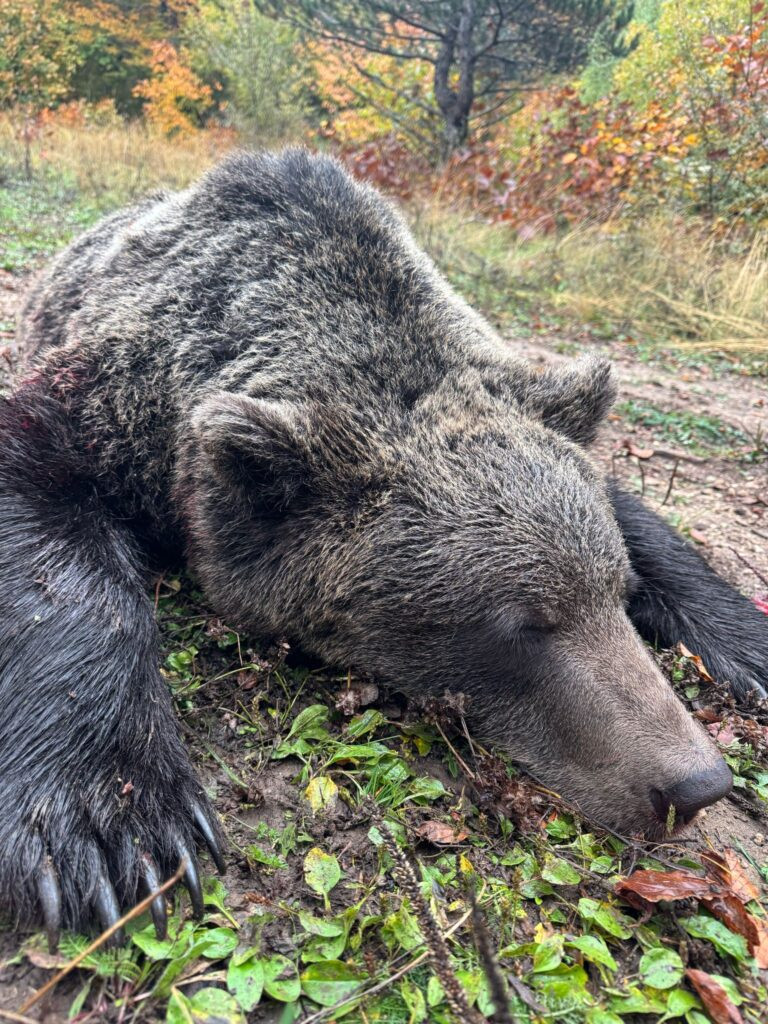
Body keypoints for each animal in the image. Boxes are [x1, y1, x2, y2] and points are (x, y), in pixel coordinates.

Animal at [3, 147, 766, 948]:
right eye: (521, 625)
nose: (697, 784)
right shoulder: (104, 403)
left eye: (616, 594)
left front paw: (747, 647)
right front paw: (113, 823)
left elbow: (640, 520)